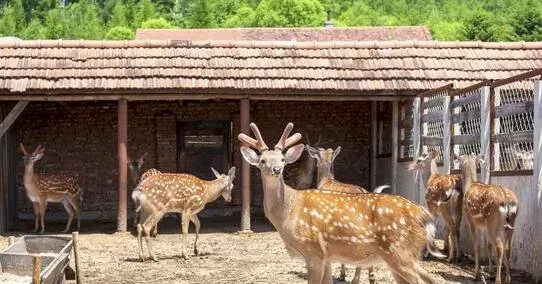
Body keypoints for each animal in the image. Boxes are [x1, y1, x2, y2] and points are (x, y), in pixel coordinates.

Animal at [240, 122, 444, 284]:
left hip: (400, 251)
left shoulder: (314, 251)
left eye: (282, 159)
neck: (289, 211)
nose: (276, 169)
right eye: (262, 160)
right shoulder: (327, 257)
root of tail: (425, 216)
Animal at [456, 154, 520, 282]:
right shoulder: (484, 225)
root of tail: (507, 201)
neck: (469, 186)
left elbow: (477, 246)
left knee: (500, 247)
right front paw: (490, 273)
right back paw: (508, 279)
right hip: (511, 223)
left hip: (494, 224)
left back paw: (498, 280)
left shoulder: (472, 221)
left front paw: (476, 274)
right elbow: (488, 245)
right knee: (508, 248)